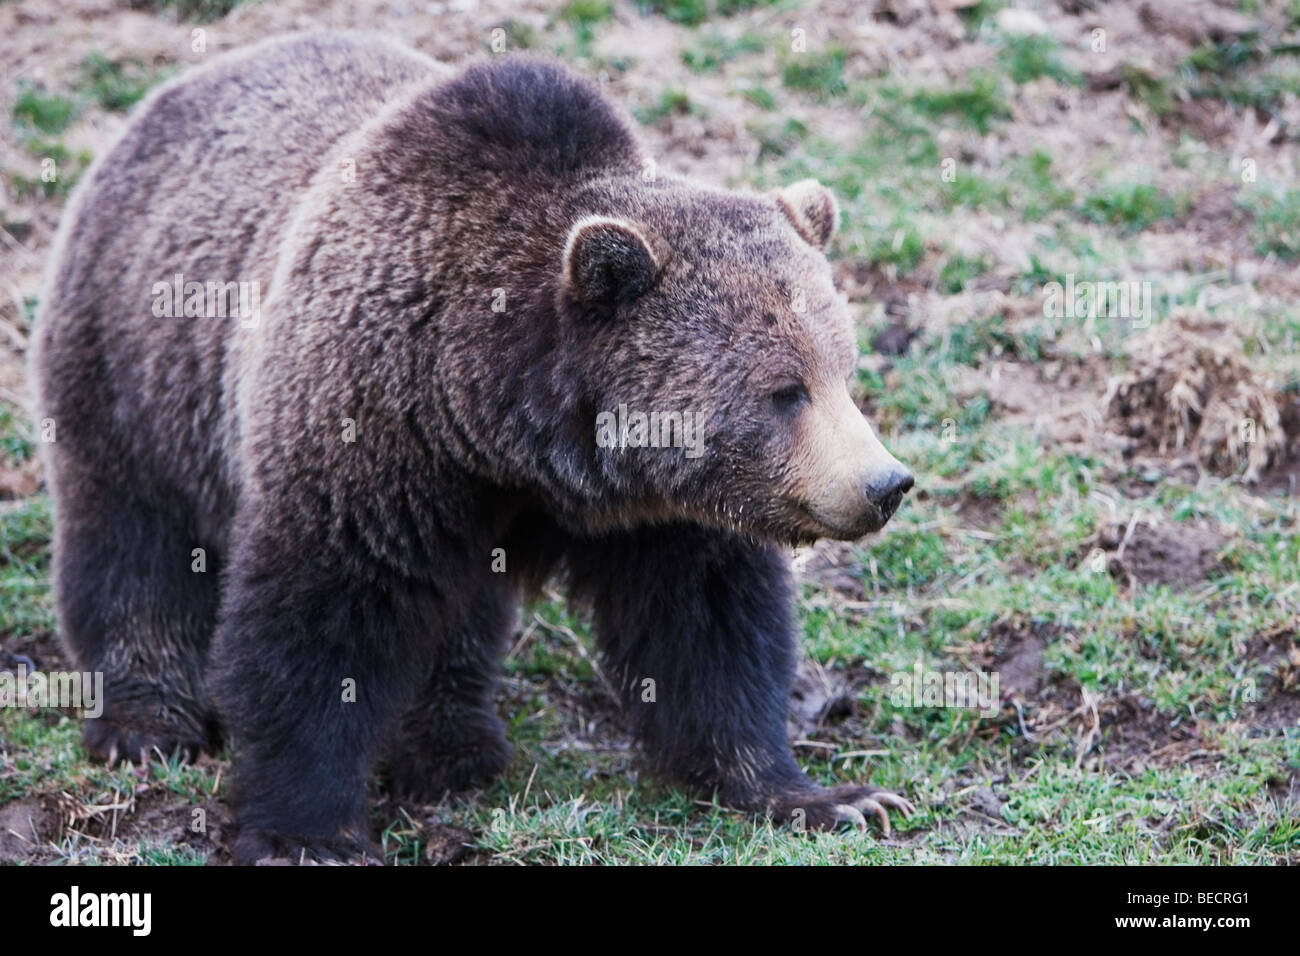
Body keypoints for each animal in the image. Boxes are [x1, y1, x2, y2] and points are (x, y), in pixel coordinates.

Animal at [31, 30, 916, 863]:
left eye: (842, 369)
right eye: (785, 389)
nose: (885, 484)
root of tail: (178, 92)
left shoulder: (655, 513)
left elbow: (710, 625)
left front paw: (825, 796)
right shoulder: (366, 440)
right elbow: (316, 624)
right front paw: (307, 832)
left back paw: (453, 744)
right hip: (135, 367)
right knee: (132, 543)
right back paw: (145, 721)